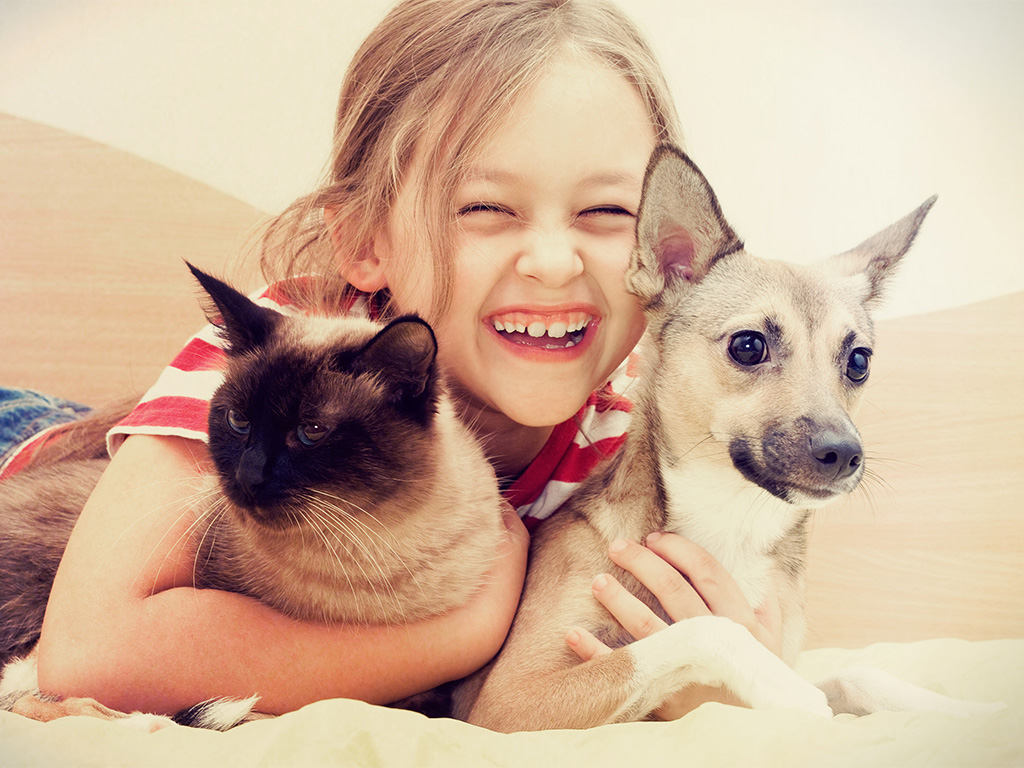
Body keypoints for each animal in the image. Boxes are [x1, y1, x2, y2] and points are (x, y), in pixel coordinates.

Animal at [458, 143, 999, 733]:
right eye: (747, 346)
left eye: (859, 361)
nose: (844, 455)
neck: (733, 518)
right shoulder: (506, 703)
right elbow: (704, 628)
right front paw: (787, 690)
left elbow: (859, 674)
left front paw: (969, 711)